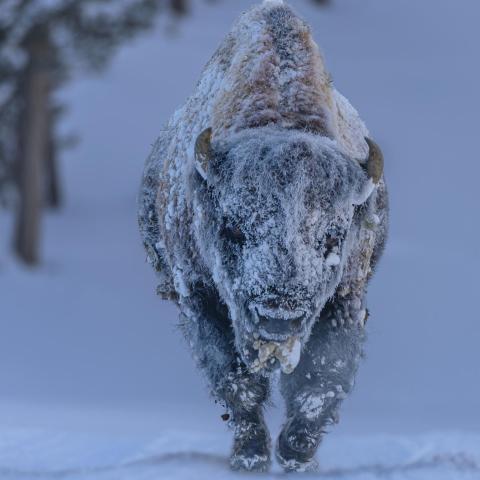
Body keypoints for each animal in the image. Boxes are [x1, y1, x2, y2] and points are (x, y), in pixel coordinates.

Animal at [139, 0, 390, 472]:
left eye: (333, 236)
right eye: (234, 227)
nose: (278, 317)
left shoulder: (344, 299)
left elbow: (320, 380)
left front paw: (296, 455)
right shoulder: (199, 294)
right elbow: (235, 382)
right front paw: (251, 455)